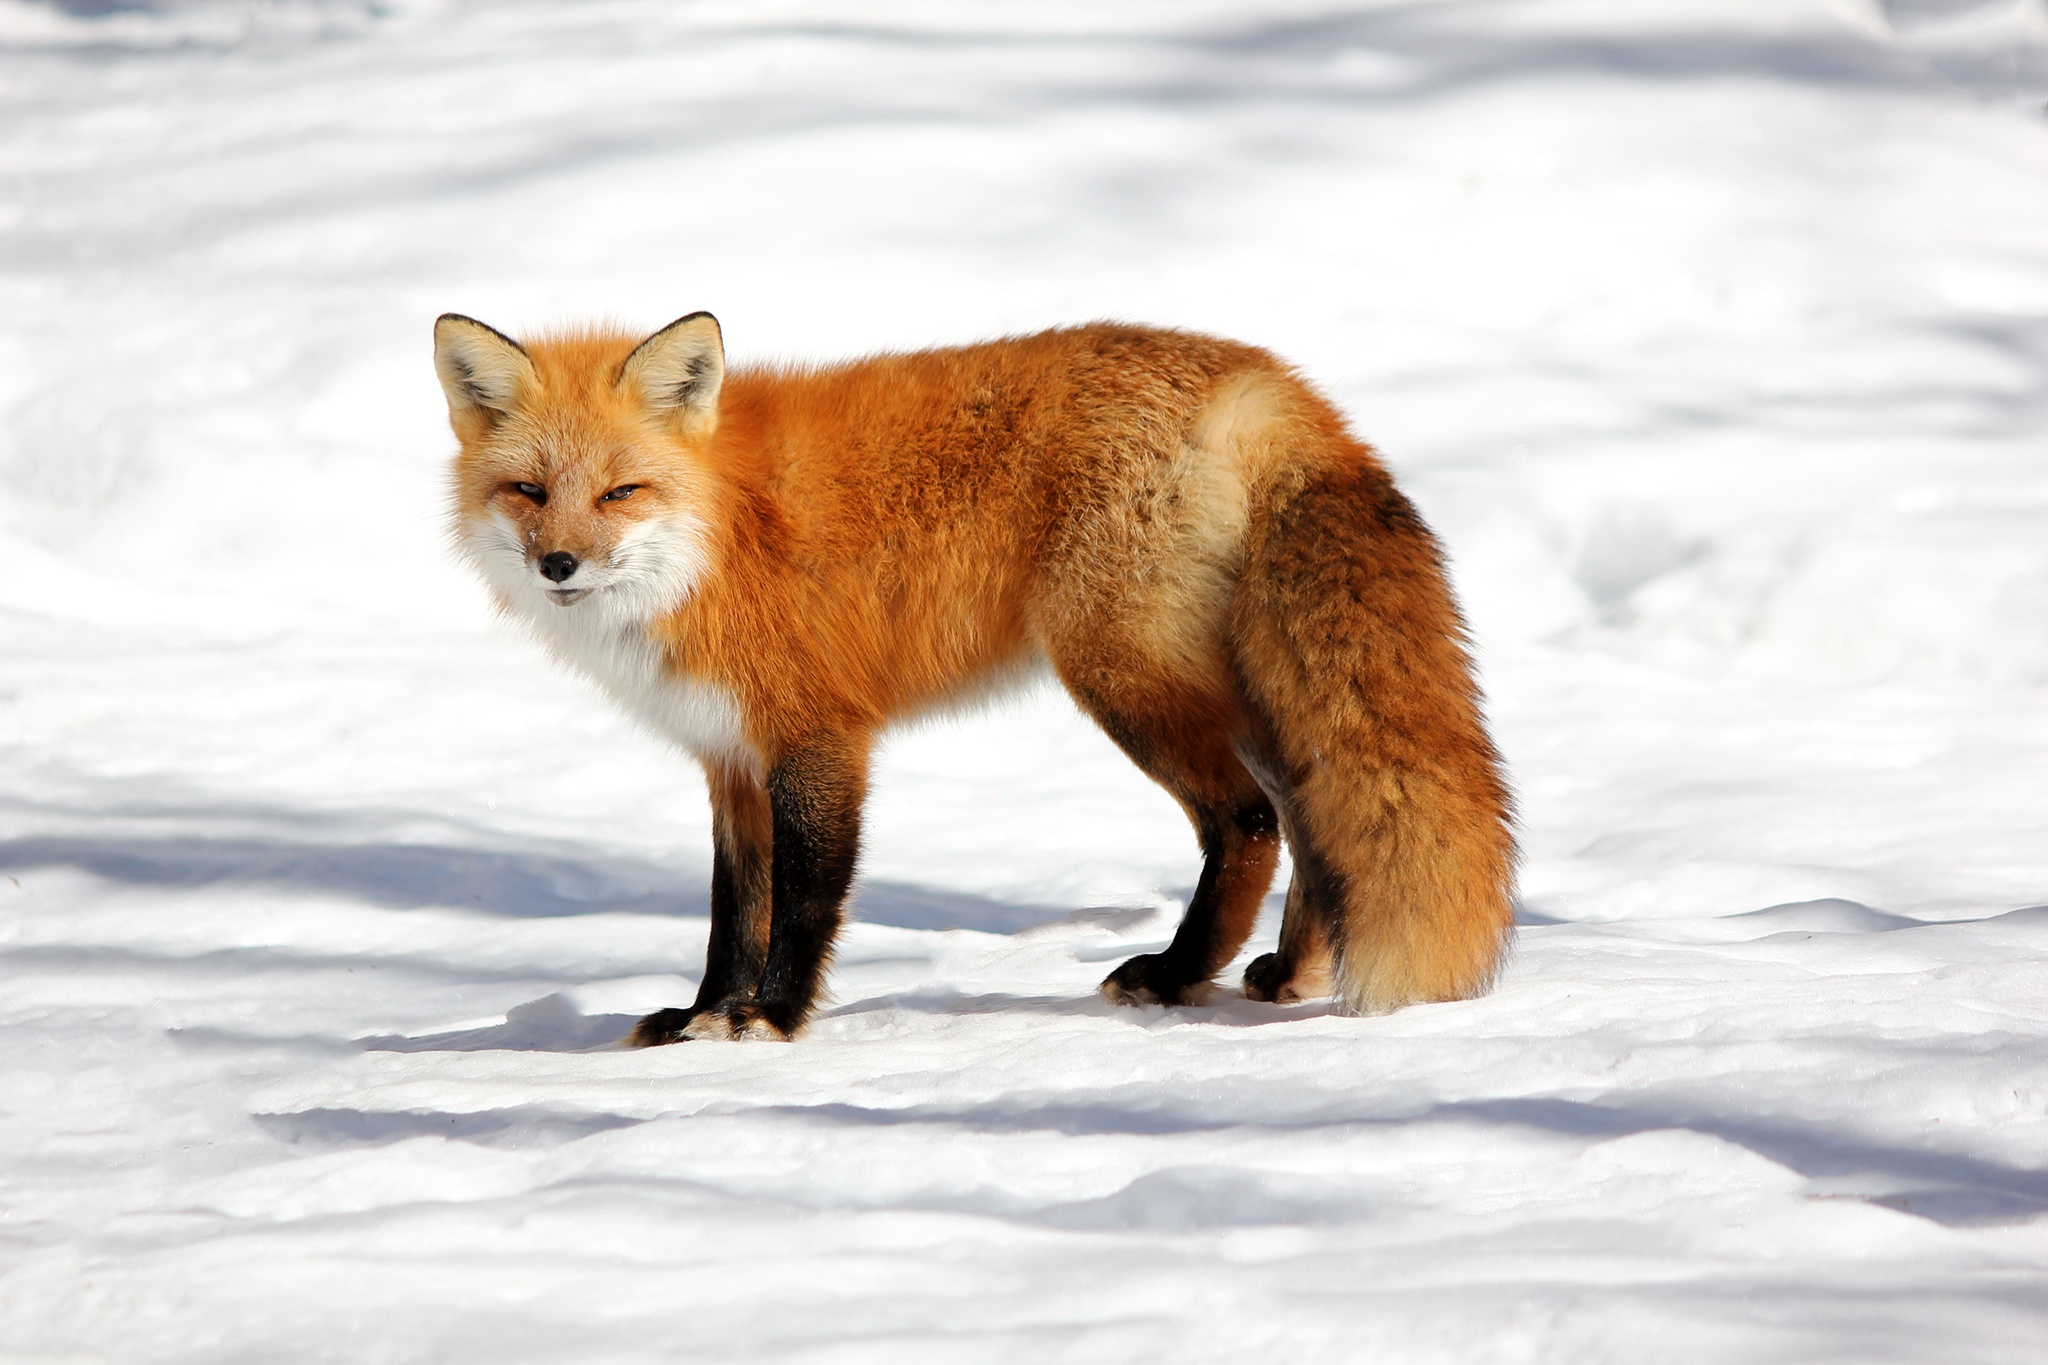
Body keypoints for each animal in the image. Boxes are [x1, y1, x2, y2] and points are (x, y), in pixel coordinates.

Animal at [436, 315, 1523, 1039]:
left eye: (621, 492)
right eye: (529, 491)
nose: (557, 565)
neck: (718, 533)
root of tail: (1261, 378)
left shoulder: (818, 737)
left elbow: (803, 899)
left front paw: (772, 1017)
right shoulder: (728, 757)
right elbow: (731, 913)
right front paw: (702, 1014)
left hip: (1119, 677)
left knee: (1247, 820)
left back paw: (1176, 974)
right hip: (1228, 686)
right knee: (1303, 811)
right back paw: (1285, 970)